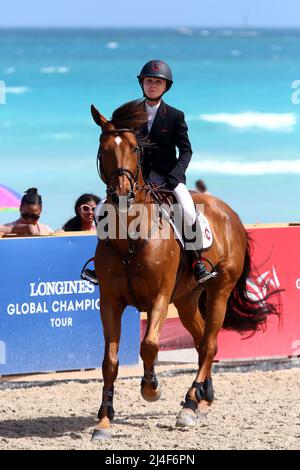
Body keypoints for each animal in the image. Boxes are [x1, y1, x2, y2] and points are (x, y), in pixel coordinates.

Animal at [90, 100, 280, 440]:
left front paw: (151, 388)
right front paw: (104, 421)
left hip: (219, 290)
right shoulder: (110, 302)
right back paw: (203, 399)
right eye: (103, 148)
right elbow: (110, 361)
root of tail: (230, 213)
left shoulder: (159, 298)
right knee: (201, 340)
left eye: (136, 148)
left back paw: (191, 404)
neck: (130, 236)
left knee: (210, 342)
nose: (122, 195)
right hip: (187, 299)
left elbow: (149, 345)